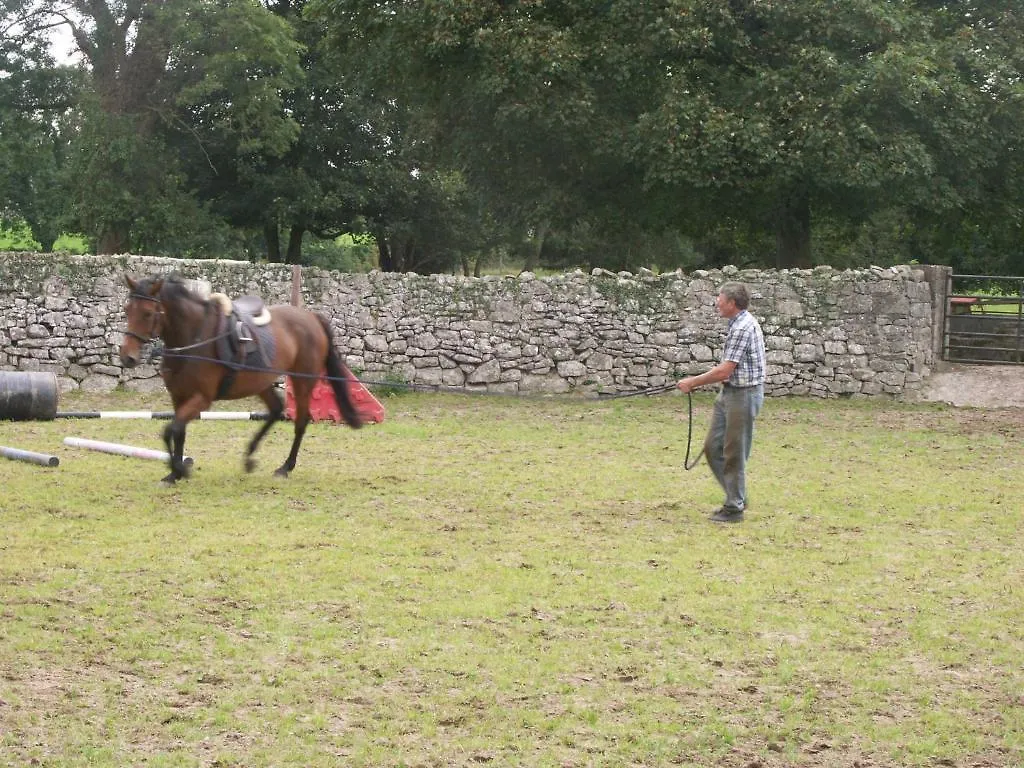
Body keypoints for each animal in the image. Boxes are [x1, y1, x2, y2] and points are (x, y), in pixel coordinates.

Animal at [119, 274, 362, 483]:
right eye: (127, 310)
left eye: (148, 313)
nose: (127, 357)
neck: (193, 338)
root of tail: (311, 317)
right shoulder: (178, 397)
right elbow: (178, 432)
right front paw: (174, 474)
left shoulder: (201, 399)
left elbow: (171, 430)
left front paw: (179, 469)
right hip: (262, 382)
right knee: (276, 409)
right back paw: (249, 457)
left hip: (303, 381)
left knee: (301, 421)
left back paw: (285, 467)